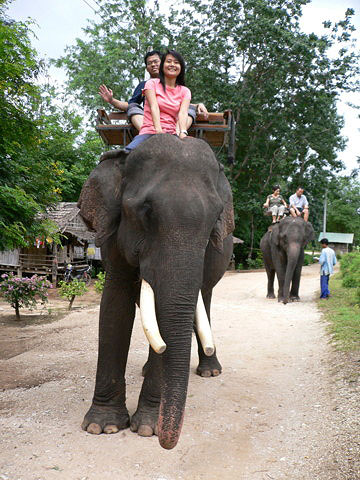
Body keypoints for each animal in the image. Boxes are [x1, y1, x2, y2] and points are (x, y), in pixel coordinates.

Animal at [77, 135, 235, 450]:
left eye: (215, 218)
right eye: (146, 212)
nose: (167, 442)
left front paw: (147, 428)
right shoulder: (111, 230)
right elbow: (115, 304)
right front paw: (102, 427)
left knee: (205, 298)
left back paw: (210, 371)